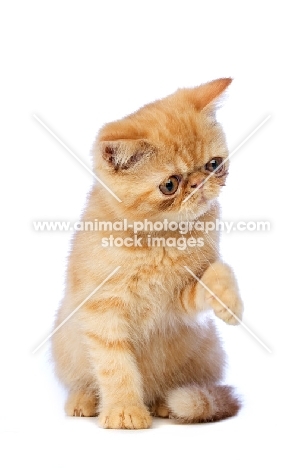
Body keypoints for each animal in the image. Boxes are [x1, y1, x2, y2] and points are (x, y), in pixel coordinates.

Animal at [52, 78, 243, 430]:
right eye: (170, 185)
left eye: (213, 165)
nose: (199, 183)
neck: (160, 240)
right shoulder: (103, 311)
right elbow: (115, 366)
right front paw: (124, 411)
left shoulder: (179, 302)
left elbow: (218, 272)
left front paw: (229, 302)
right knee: (84, 380)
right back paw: (84, 401)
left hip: (206, 347)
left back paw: (165, 404)